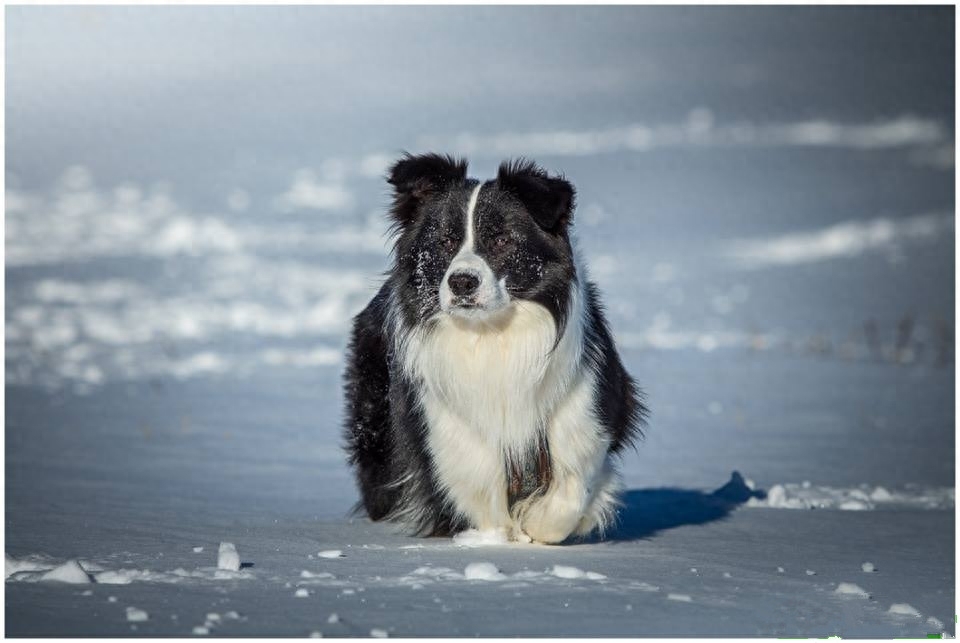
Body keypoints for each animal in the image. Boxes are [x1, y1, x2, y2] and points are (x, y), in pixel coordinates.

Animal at [344, 155, 644, 544]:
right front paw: (496, 540)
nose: (462, 282)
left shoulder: (585, 412)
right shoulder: (449, 436)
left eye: (501, 240)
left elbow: (571, 492)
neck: (491, 337)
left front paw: (536, 521)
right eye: (445, 241)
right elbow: (479, 496)